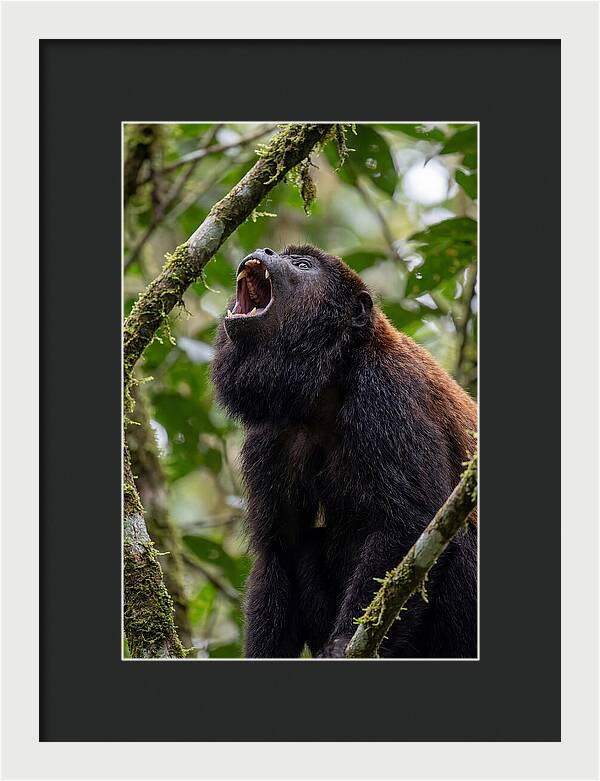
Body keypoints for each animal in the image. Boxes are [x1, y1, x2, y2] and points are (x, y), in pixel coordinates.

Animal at [211, 245, 477, 658]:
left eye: (302, 265)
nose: (265, 250)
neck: (330, 380)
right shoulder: (270, 434)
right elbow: (279, 550)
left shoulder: (386, 392)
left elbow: (410, 522)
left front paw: (341, 644)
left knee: (459, 536)